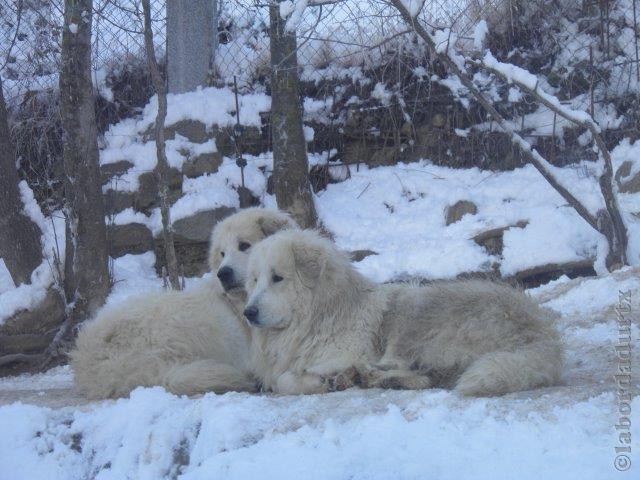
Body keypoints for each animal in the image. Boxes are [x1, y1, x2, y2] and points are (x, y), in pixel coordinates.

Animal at [242, 231, 564, 396]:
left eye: (278, 278)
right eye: (254, 280)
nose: (248, 312)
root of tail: (541, 332)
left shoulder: (346, 352)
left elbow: (284, 380)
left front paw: (320, 380)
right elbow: (279, 378)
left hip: (413, 313)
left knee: (417, 370)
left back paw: (364, 375)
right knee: (427, 377)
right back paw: (372, 378)